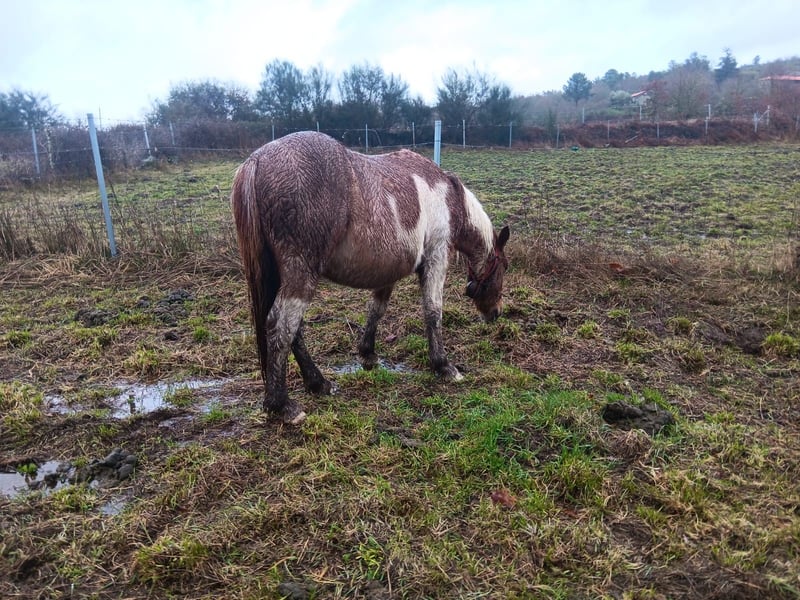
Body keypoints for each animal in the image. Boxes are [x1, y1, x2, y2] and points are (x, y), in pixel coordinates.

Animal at [231, 131, 509, 425]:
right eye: (505, 266)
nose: (496, 312)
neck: (447, 197)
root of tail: (257, 160)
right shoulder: (436, 258)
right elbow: (433, 312)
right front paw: (443, 366)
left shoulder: (389, 271)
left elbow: (376, 309)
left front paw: (368, 354)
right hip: (300, 274)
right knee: (281, 325)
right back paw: (283, 405)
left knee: (294, 329)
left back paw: (318, 384)